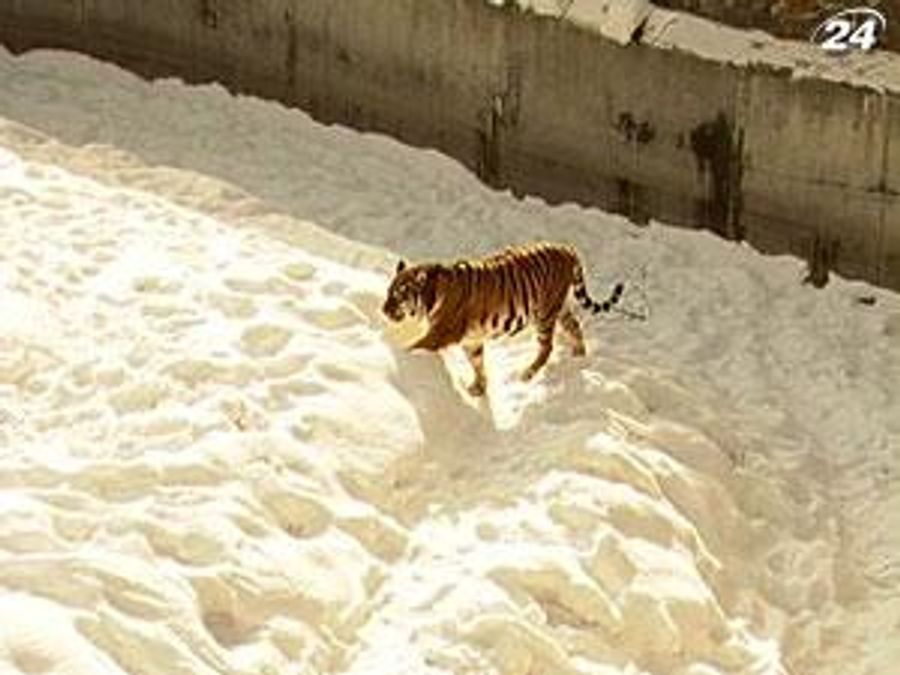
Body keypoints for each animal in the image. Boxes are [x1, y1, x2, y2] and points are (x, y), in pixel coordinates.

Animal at [381, 241, 624, 396]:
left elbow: (416, 346)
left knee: (547, 347)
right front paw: (479, 388)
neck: (430, 297)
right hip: (561, 307)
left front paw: (401, 357)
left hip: (544, 314)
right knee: (575, 326)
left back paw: (527, 374)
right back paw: (579, 356)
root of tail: (567, 248)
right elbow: (478, 363)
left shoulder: (441, 333)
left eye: (399, 295)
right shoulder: (472, 339)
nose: (383, 310)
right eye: (388, 291)